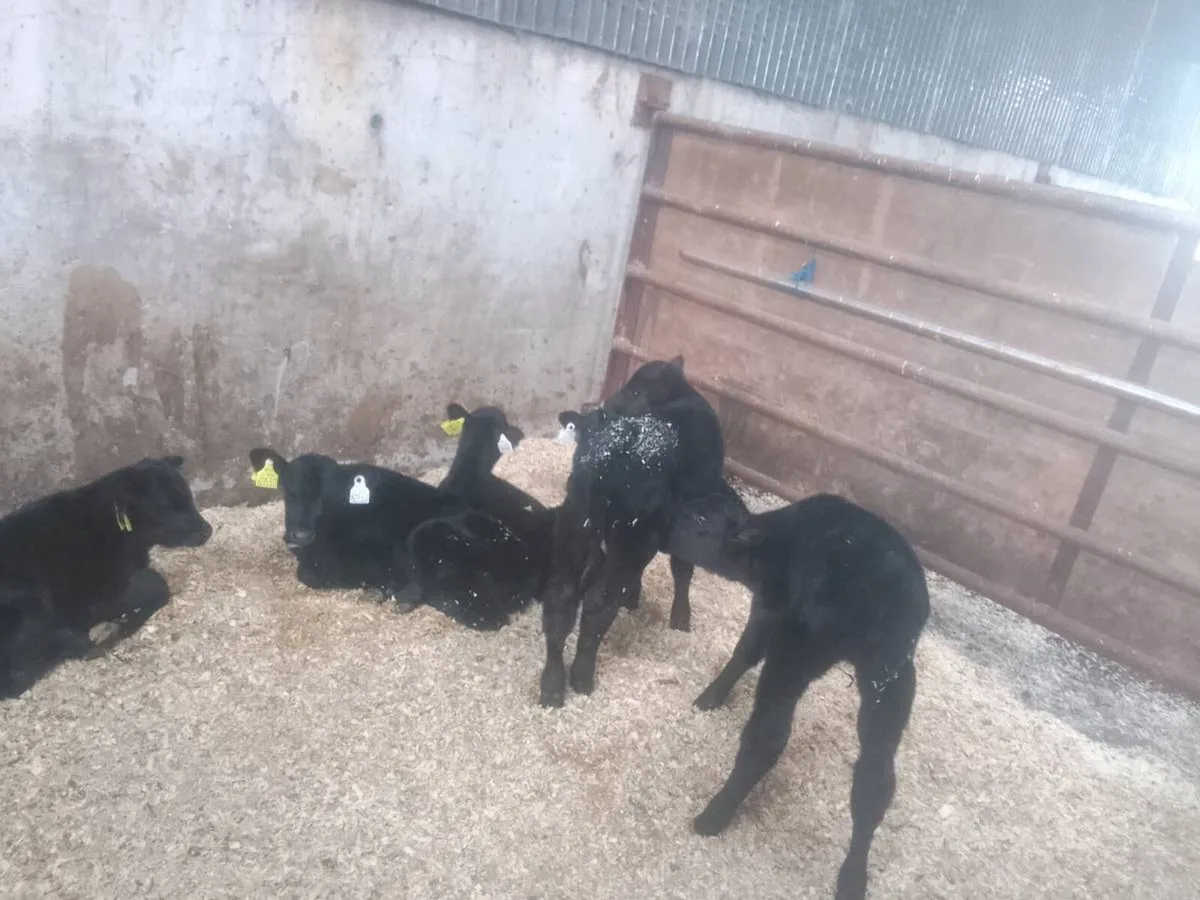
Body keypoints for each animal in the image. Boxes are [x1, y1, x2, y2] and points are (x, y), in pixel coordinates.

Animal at [0, 456, 212, 699]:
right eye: (167, 508)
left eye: (189, 498)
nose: (207, 530)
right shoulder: (91, 597)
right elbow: (157, 584)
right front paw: (123, 624)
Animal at [691, 495, 930, 900]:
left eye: (706, 528)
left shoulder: (771, 602)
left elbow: (748, 648)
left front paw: (712, 694)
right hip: (893, 674)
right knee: (875, 775)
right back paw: (852, 878)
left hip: (798, 644)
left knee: (767, 738)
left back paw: (713, 815)